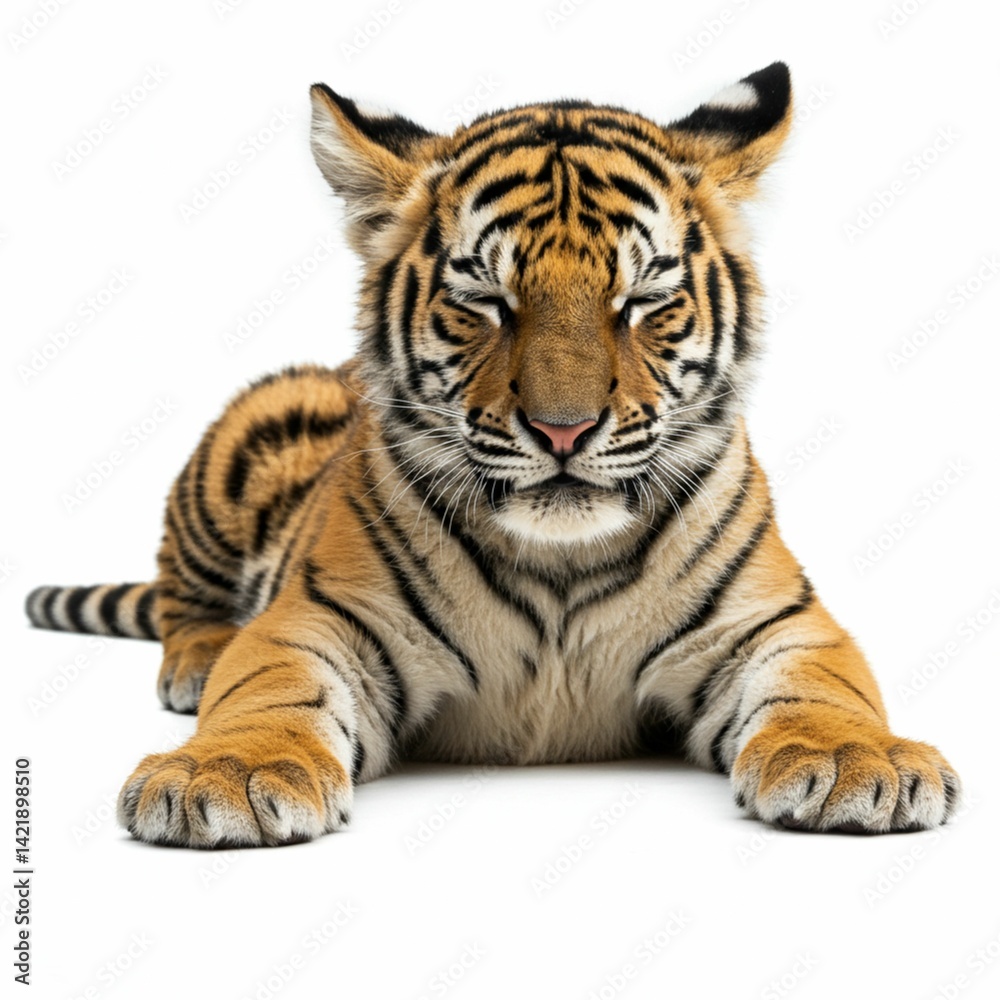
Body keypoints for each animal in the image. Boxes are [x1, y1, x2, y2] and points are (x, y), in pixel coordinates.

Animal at [25, 61, 960, 848]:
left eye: (641, 300)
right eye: (485, 301)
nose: (563, 431)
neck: (563, 566)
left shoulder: (778, 622)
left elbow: (824, 690)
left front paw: (855, 761)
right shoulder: (321, 618)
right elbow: (269, 687)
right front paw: (226, 773)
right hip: (254, 425)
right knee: (183, 599)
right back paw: (198, 657)